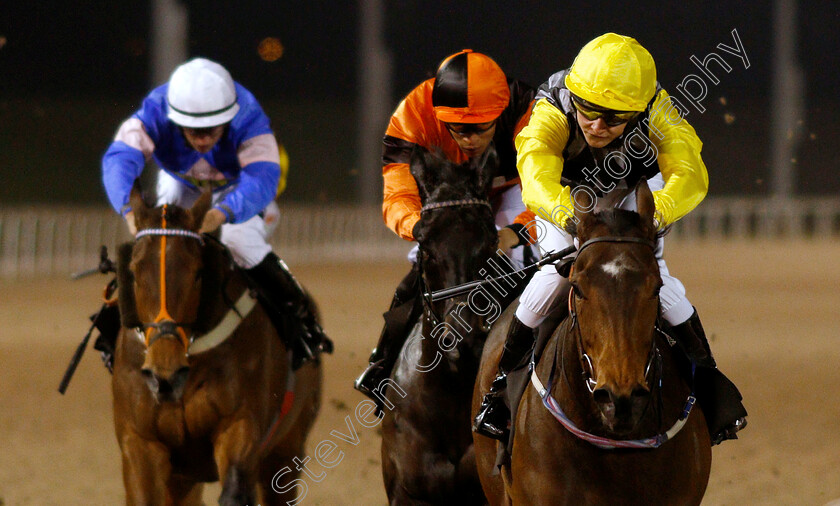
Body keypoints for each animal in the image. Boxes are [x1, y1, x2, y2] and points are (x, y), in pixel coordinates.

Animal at [111, 189, 322, 506]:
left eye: (198, 272)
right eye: (134, 272)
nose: (165, 375)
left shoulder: (240, 423)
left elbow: (234, 491)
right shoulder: (140, 440)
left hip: (286, 449)